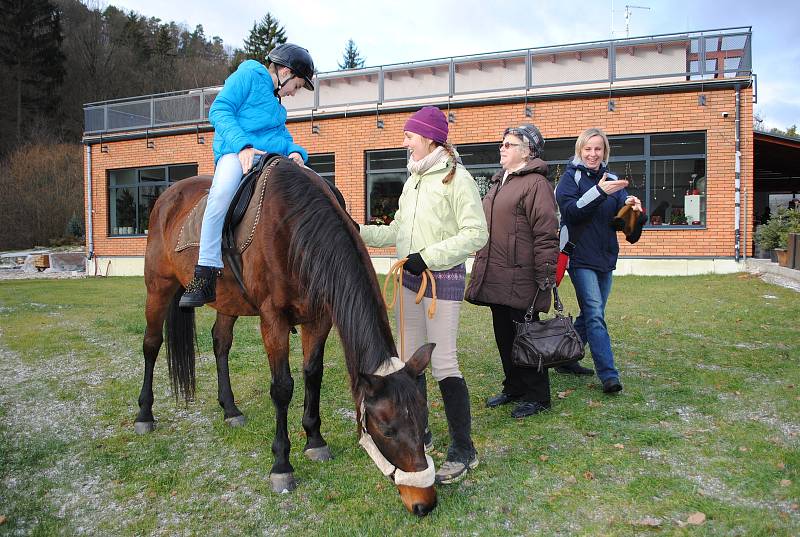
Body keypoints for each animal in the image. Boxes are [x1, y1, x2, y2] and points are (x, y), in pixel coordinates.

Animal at [136, 158, 438, 516]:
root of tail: (167, 196)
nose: (425, 502)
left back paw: (230, 409)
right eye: (386, 429)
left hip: (227, 300)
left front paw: (315, 440)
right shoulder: (273, 319)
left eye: (424, 420)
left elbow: (313, 374)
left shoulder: (319, 317)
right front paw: (282, 464)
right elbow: (282, 388)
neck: (294, 226)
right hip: (158, 286)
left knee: (220, 343)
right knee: (151, 345)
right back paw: (144, 414)